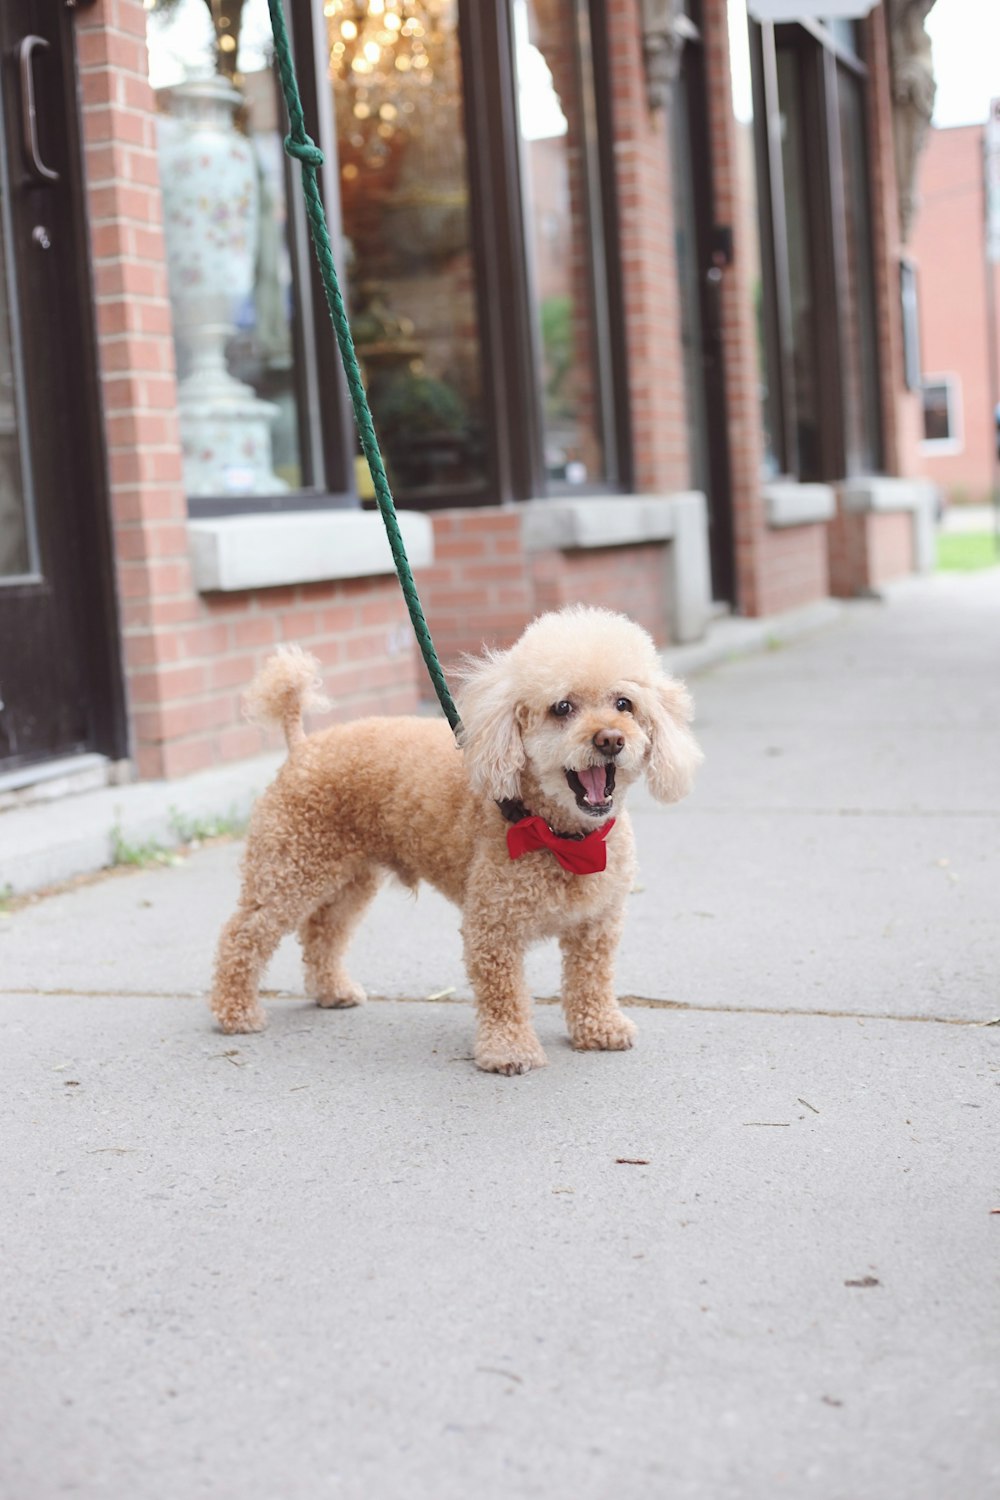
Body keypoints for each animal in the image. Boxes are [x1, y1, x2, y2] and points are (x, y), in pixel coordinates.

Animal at [206, 609, 701, 1080]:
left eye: (624, 704)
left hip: (350, 878)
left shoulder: (596, 925)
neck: (557, 832)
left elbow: (591, 980)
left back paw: (332, 991)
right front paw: (509, 1051)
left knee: (323, 930)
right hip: (290, 866)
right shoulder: (493, 928)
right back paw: (235, 1012)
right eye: (562, 707)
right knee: (243, 934)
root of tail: (302, 746)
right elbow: (503, 994)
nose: (611, 739)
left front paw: (599, 1027)